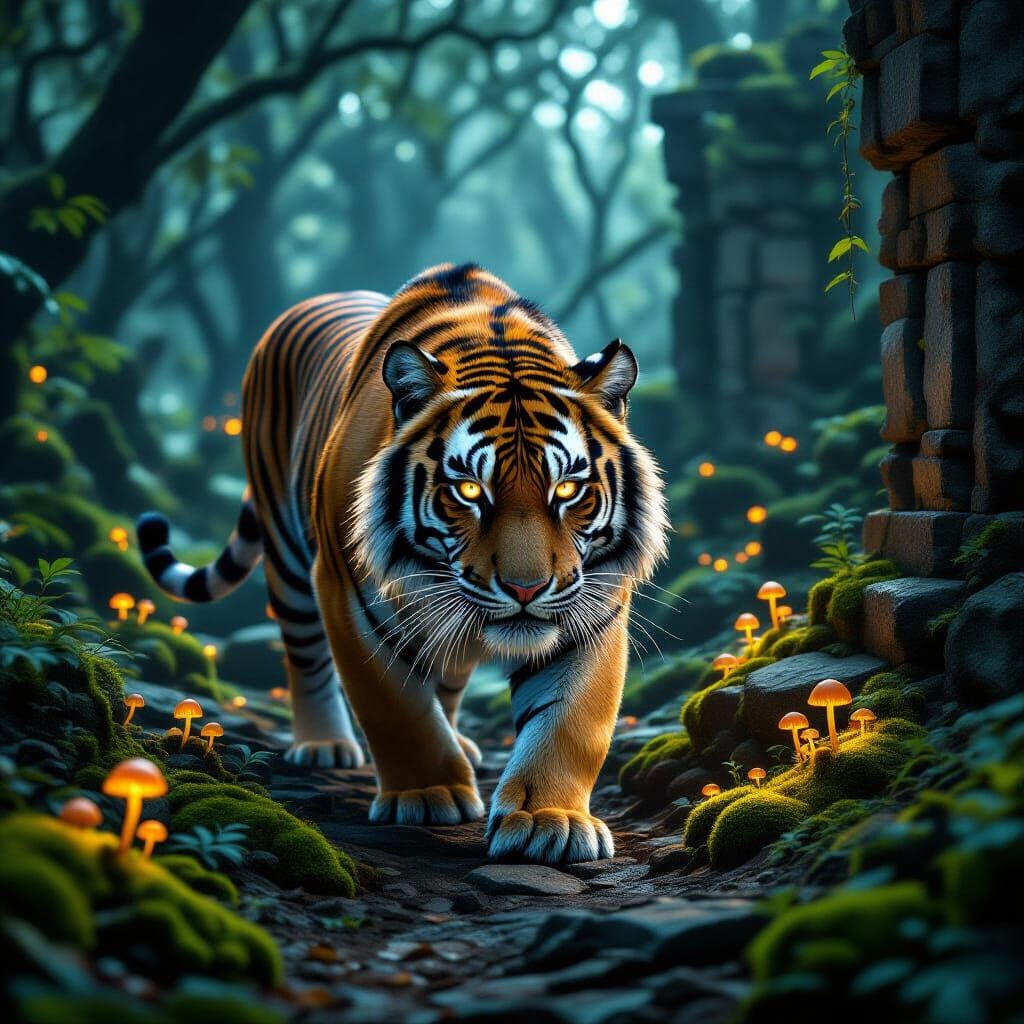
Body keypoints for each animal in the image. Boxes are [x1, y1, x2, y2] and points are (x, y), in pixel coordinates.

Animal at [137, 263, 668, 865]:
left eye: (567, 489)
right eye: (468, 490)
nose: (526, 589)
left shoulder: (594, 603)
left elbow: (570, 720)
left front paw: (548, 819)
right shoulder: (347, 591)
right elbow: (394, 706)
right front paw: (428, 793)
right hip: (288, 554)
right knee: (306, 655)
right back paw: (324, 744)